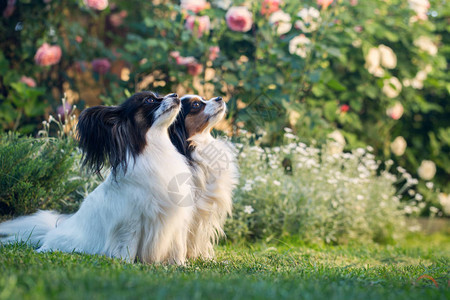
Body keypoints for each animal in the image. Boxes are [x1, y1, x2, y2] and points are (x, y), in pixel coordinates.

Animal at [0, 92, 193, 264]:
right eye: (149, 100)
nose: (175, 95)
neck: (155, 148)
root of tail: (53, 231)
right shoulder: (131, 223)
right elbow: (127, 247)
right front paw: (126, 265)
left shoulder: (176, 222)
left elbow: (178, 248)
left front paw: (179, 266)